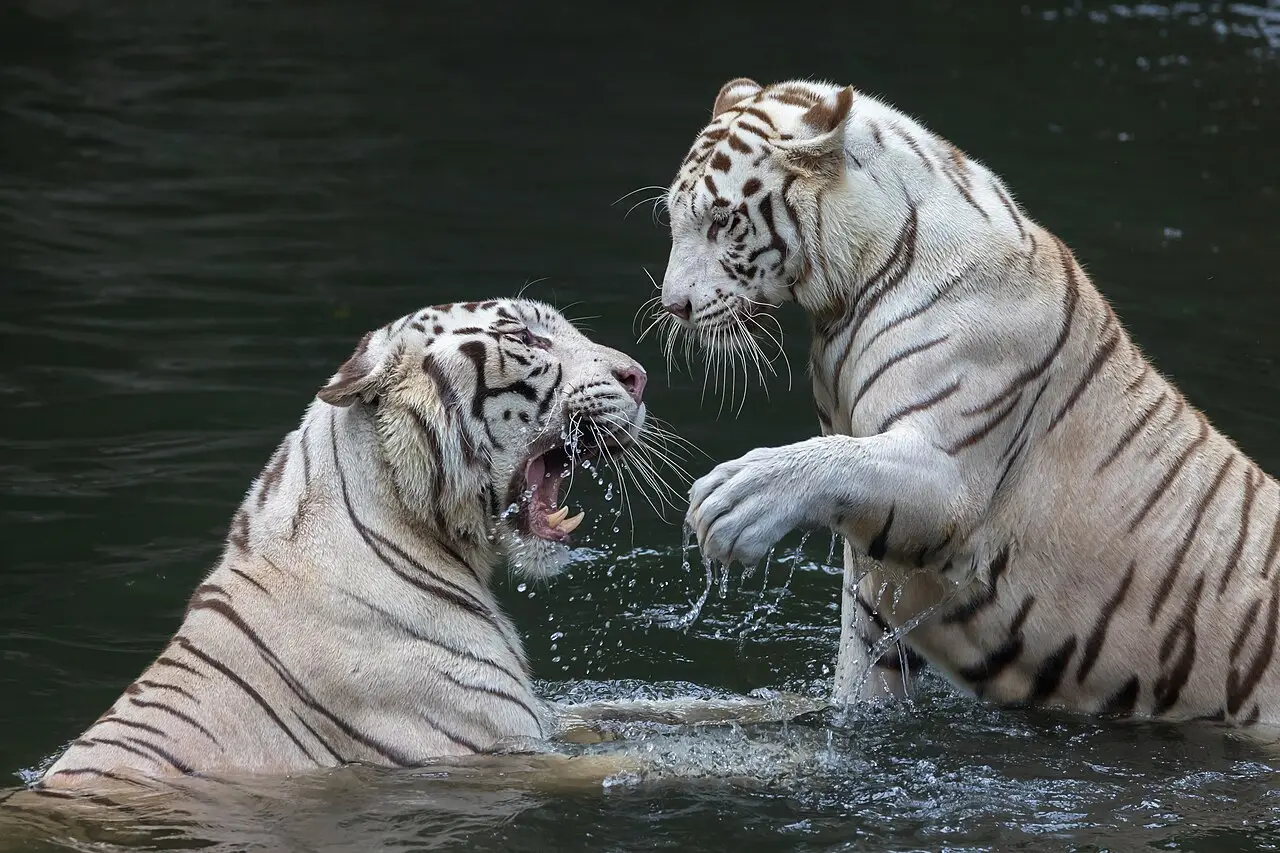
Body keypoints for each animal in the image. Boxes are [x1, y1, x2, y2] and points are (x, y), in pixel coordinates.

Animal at [652, 76, 1280, 726]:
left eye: (722, 221)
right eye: (674, 217)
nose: (672, 306)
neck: (847, 294)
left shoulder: (950, 475)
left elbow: (837, 459)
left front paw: (732, 502)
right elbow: (862, 665)